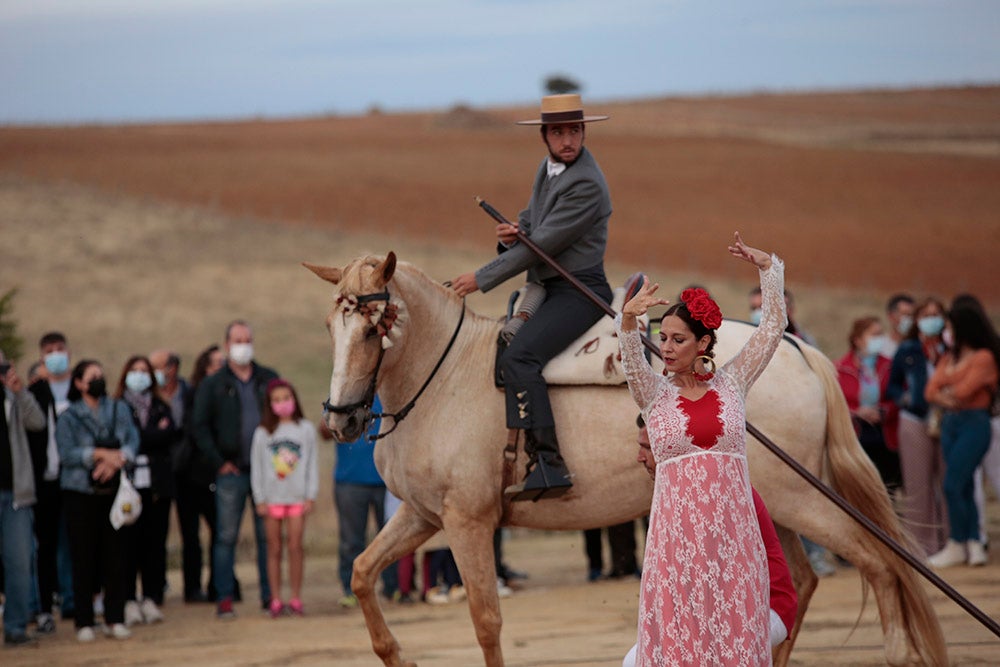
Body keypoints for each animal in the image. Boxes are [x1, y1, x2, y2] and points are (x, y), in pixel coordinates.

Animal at [304, 252, 944, 667]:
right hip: (778, 505)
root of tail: (793, 348)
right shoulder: (423, 516)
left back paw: (896, 652)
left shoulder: (468, 523)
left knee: (878, 563)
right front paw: (395, 655)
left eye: (373, 328)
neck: (444, 374)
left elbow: (486, 622)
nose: (340, 419)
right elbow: (361, 572)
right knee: (802, 580)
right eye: (331, 324)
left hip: (803, 497)